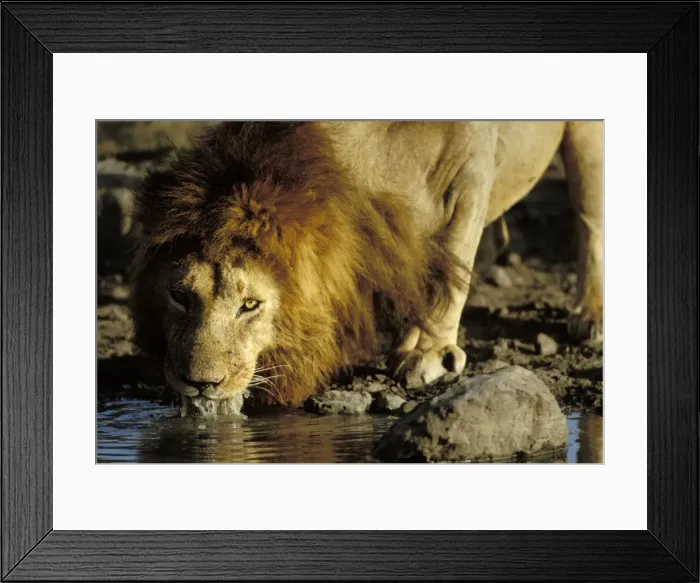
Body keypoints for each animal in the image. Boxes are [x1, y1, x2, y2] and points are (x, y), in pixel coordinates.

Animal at [130, 121, 602, 406]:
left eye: (250, 305)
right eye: (179, 296)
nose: (199, 384)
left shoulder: (472, 163)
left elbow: (455, 256)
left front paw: (429, 352)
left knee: (590, 220)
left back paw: (590, 315)